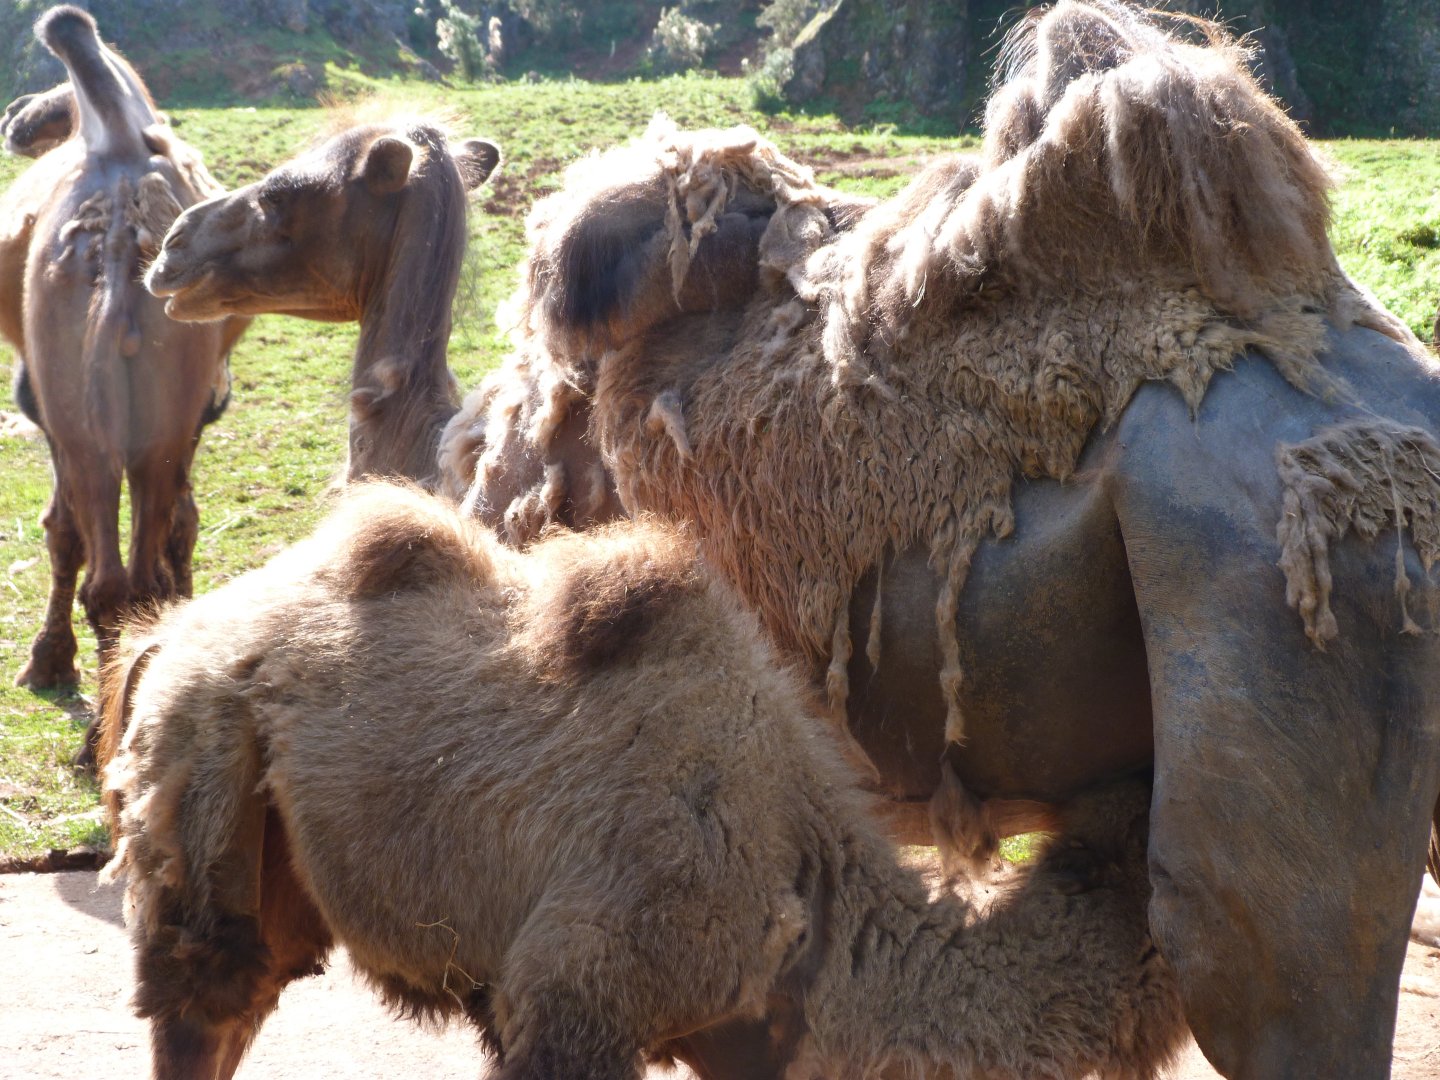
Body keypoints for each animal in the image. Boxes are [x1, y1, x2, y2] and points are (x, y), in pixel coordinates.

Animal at [0, 8, 248, 766]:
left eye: (49, 98)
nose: (16, 117)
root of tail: (117, 245)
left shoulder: (45, 402)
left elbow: (62, 530)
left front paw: (47, 661)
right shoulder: (190, 411)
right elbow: (176, 527)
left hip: (94, 416)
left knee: (111, 569)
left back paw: (98, 735)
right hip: (153, 416)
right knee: (130, 578)